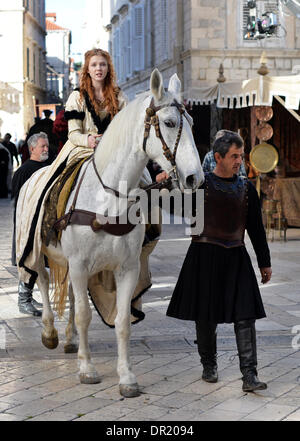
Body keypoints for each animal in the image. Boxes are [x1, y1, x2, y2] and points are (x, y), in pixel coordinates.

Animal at [27, 69, 203, 396]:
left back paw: (70, 339)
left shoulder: (126, 268)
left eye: (192, 123)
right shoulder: (80, 265)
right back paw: (50, 333)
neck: (107, 196)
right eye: (169, 123)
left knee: (72, 295)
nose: (193, 178)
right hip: (39, 250)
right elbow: (85, 315)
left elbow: (122, 322)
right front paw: (87, 369)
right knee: (43, 282)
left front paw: (127, 377)